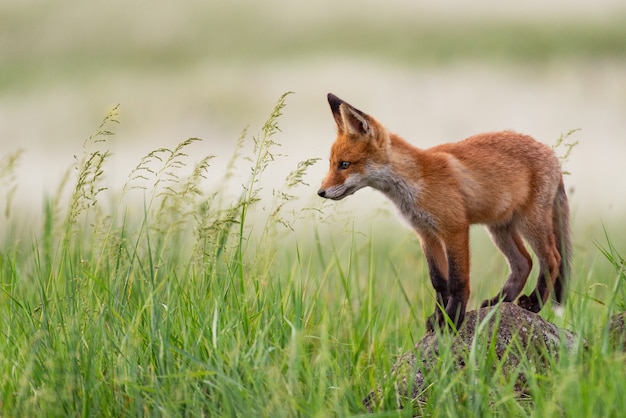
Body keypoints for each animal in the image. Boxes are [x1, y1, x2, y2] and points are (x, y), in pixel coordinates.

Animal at [316, 94, 572, 330]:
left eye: (344, 164)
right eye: (331, 164)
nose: (321, 192)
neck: (415, 183)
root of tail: (551, 154)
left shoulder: (454, 228)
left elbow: (458, 281)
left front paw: (452, 318)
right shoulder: (426, 233)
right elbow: (439, 281)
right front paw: (438, 317)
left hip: (530, 222)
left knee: (551, 258)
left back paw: (534, 303)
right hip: (499, 227)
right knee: (523, 262)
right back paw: (499, 301)